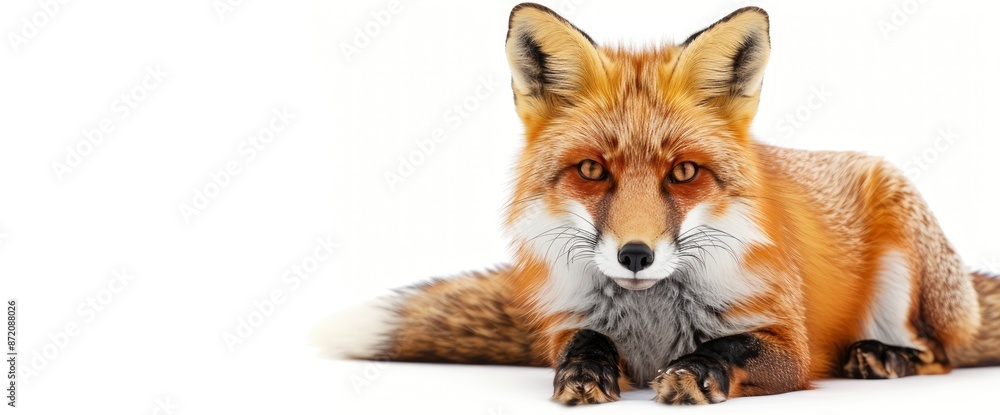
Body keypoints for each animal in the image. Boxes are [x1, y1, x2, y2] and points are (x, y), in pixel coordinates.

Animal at [312, 3, 1000, 405]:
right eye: (592, 171)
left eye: (684, 173)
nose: (636, 255)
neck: (653, 320)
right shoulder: (564, 324)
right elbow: (584, 341)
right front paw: (585, 373)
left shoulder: (792, 344)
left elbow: (731, 347)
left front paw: (696, 371)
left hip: (907, 255)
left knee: (942, 354)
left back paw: (884, 356)